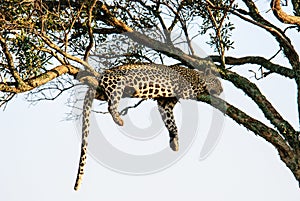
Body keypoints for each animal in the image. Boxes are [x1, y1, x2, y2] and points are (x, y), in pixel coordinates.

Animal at [73, 63, 223, 190]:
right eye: (217, 82)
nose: (221, 90)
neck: (196, 75)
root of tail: (101, 74)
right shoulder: (185, 89)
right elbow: (200, 90)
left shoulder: (165, 104)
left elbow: (171, 123)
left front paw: (174, 141)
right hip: (117, 81)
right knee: (111, 104)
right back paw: (118, 118)